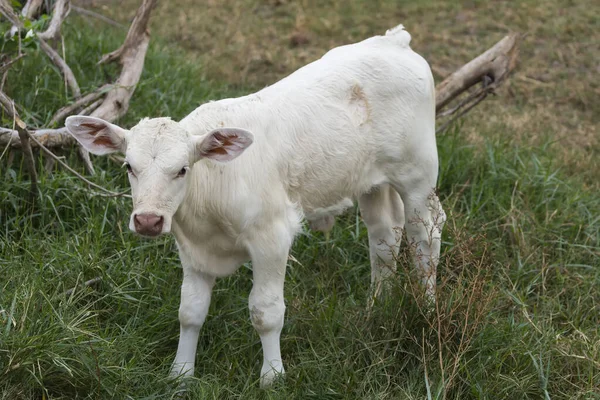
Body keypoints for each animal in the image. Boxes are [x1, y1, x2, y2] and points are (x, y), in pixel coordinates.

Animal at [65, 24, 442, 388]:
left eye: (183, 169)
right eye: (129, 167)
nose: (147, 220)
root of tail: (394, 41)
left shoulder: (272, 236)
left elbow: (266, 312)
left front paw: (272, 376)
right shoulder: (192, 250)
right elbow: (190, 311)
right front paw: (181, 374)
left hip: (418, 174)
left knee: (425, 234)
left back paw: (426, 310)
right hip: (370, 181)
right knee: (384, 236)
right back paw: (376, 307)